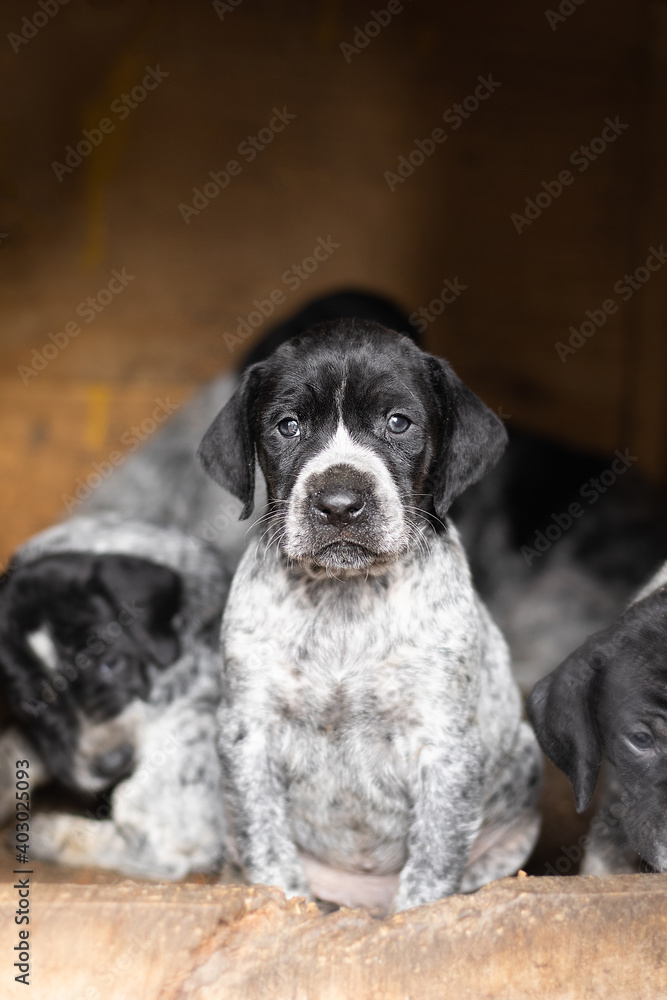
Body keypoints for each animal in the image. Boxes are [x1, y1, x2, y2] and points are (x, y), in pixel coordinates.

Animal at [197, 320, 544, 916]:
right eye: (287, 426)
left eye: (398, 422)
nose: (339, 504)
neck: (346, 600)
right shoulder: (249, 734)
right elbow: (269, 850)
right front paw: (287, 907)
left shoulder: (444, 747)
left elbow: (431, 866)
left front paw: (411, 921)